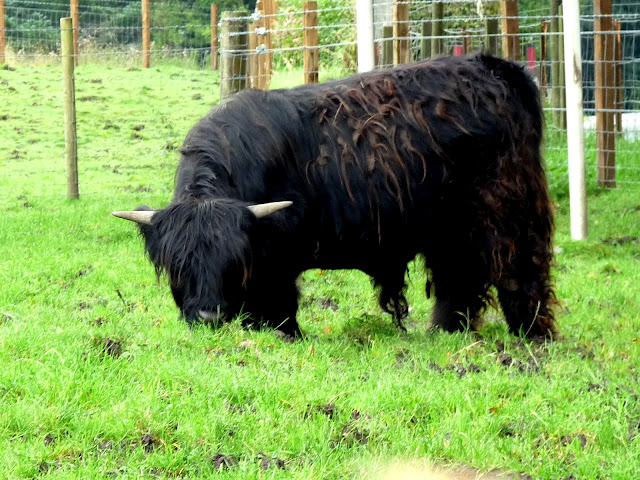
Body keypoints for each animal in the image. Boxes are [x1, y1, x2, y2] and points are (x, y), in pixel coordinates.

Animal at [114, 54, 556, 340]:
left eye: (232, 261)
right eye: (179, 263)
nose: (208, 315)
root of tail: (494, 68)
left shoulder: (278, 260)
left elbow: (279, 305)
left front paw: (288, 336)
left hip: (508, 214)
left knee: (521, 274)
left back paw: (531, 337)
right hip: (449, 230)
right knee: (457, 278)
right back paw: (445, 332)